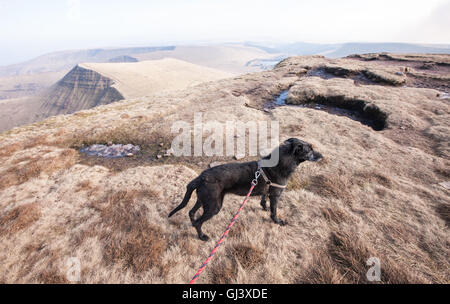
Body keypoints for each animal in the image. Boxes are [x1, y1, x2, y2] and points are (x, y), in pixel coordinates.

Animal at [168, 138, 320, 240]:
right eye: (310, 150)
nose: (322, 156)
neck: (282, 162)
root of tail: (201, 177)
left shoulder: (267, 192)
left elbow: (264, 200)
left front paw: (264, 207)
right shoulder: (276, 195)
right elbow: (274, 212)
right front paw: (277, 221)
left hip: (203, 199)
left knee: (191, 213)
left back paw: (192, 223)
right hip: (214, 206)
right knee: (199, 222)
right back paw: (202, 236)